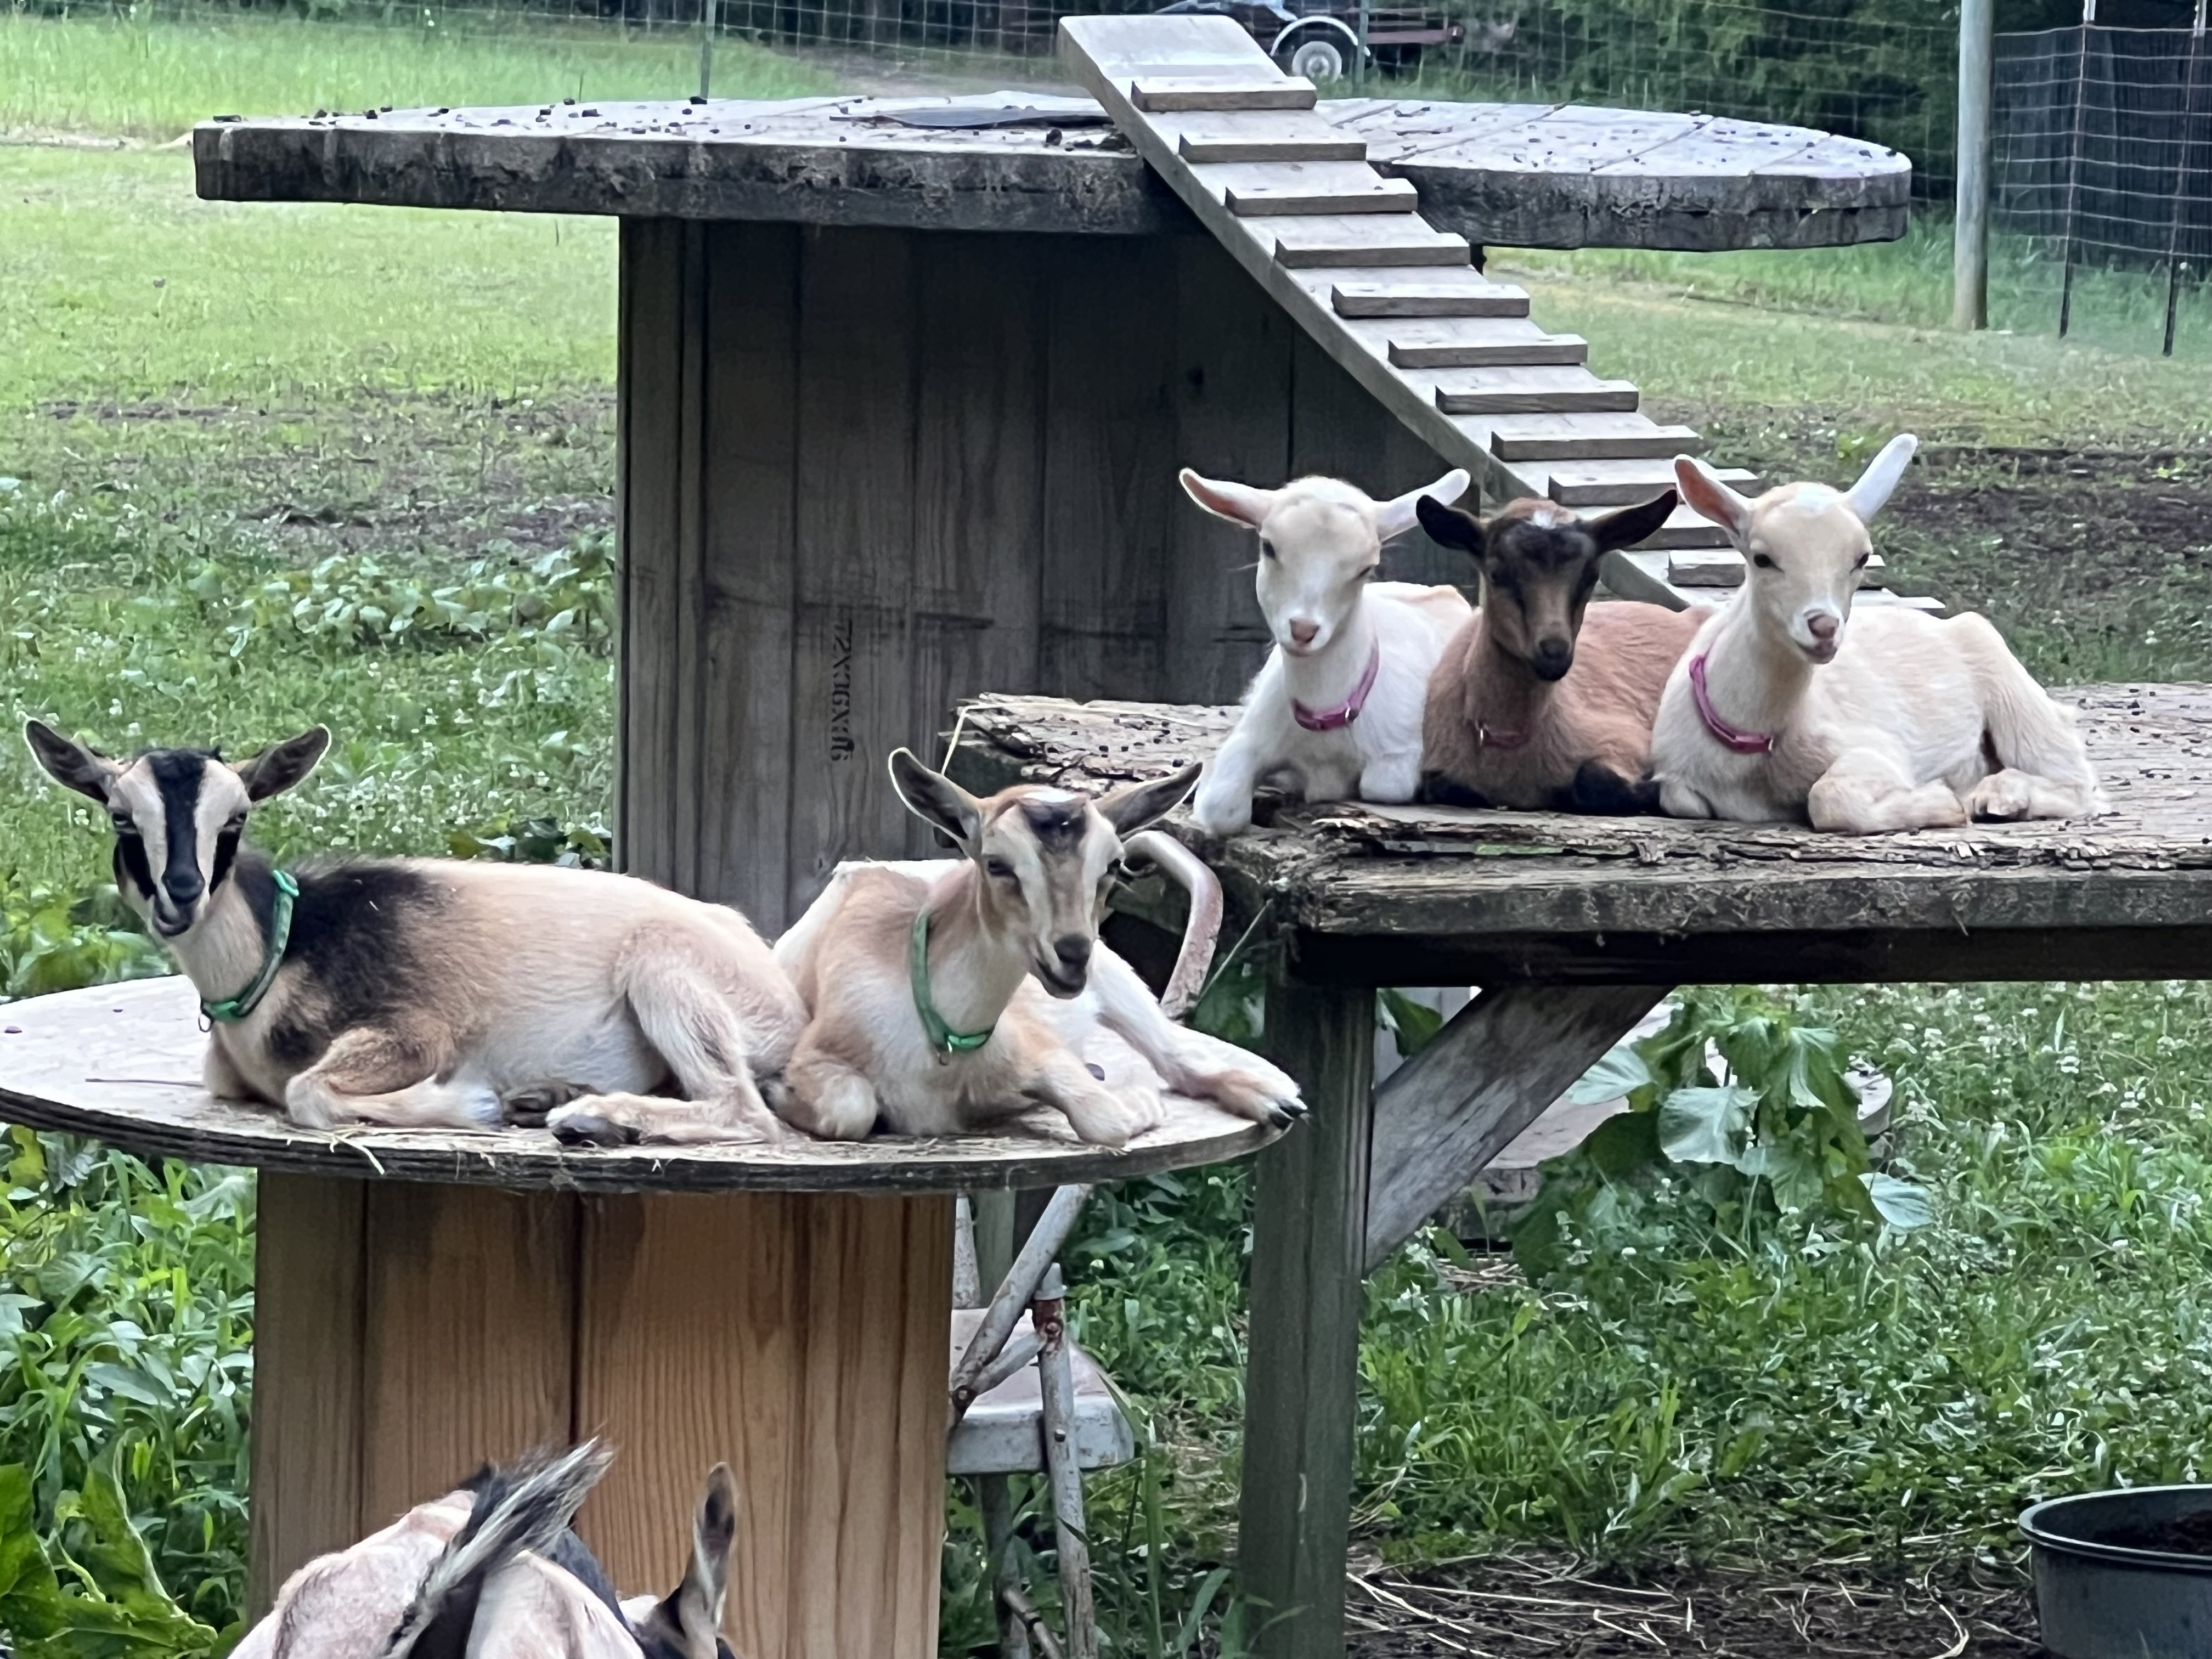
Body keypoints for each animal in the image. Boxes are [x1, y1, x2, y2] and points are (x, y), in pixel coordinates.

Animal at [24, 722, 804, 1142]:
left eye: (237, 817)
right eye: (122, 817)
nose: (180, 896)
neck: (282, 951)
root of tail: (779, 989)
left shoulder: (414, 1032)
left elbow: (308, 1093)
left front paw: (478, 1103)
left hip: (667, 970)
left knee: (744, 1108)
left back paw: (586, 1115)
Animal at [756, 750, 1304, 1149]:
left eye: (1113, 865)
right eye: (996, 863)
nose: (1072, 954)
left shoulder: (1039, 1047)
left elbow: (1105, 1117)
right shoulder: (820, 1053)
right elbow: (851, 1110)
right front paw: (774, 1089)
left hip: (1118, 980)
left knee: (1176, 1056)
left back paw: (1277, 1099)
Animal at [1178, 467, 1474, 837]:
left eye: (1366, 568)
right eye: (1268, 547)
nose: (1303, 630)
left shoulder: (1402, 748)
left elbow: (1383, 786)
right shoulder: (1253, 733)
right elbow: (1223, 806)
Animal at [1414, 491, 1702, 812]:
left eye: (1591, 576)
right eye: (1496, 574)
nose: (1554, 653)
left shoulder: (1626, 740)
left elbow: (1593, 782)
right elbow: (1445, 786)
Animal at [1649, 436, 2105, 831]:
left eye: (1861, 558)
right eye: (1762, 558)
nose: (1824, 627)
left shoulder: (1876, 750)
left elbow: (1829, 798)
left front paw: (1941, 802)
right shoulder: (1674, 778)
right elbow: (1682, 800)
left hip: (2009, 685)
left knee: (2078, 781)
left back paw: (1998, 796)